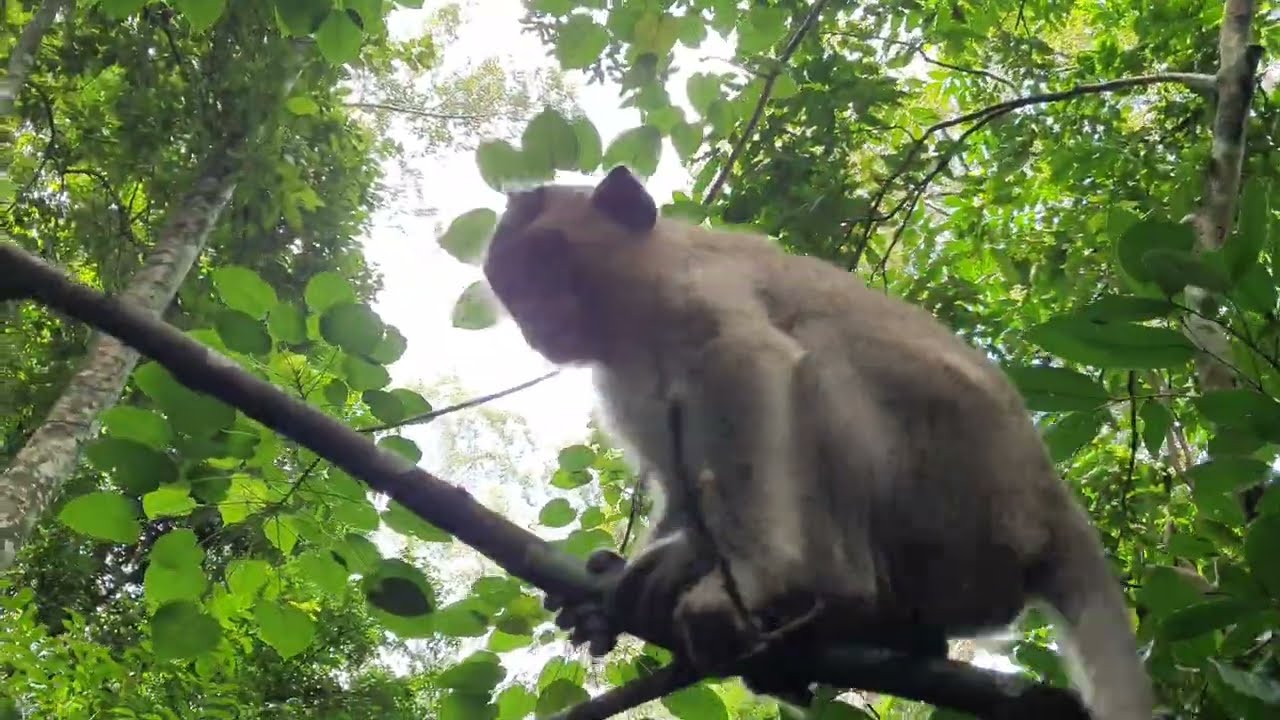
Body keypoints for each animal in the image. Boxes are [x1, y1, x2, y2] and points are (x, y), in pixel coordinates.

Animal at [481, 165, 1155, 720]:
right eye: (514, 282)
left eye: (548, 257)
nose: (533, 317)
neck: (631, 315)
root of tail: (1051, 502)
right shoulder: (619, 376)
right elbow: (678, 481)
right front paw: (628, 583)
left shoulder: (696, 290)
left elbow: (747, 364)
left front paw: (751, 577)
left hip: (965, 503)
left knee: (820, 360)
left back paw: (838, 598)